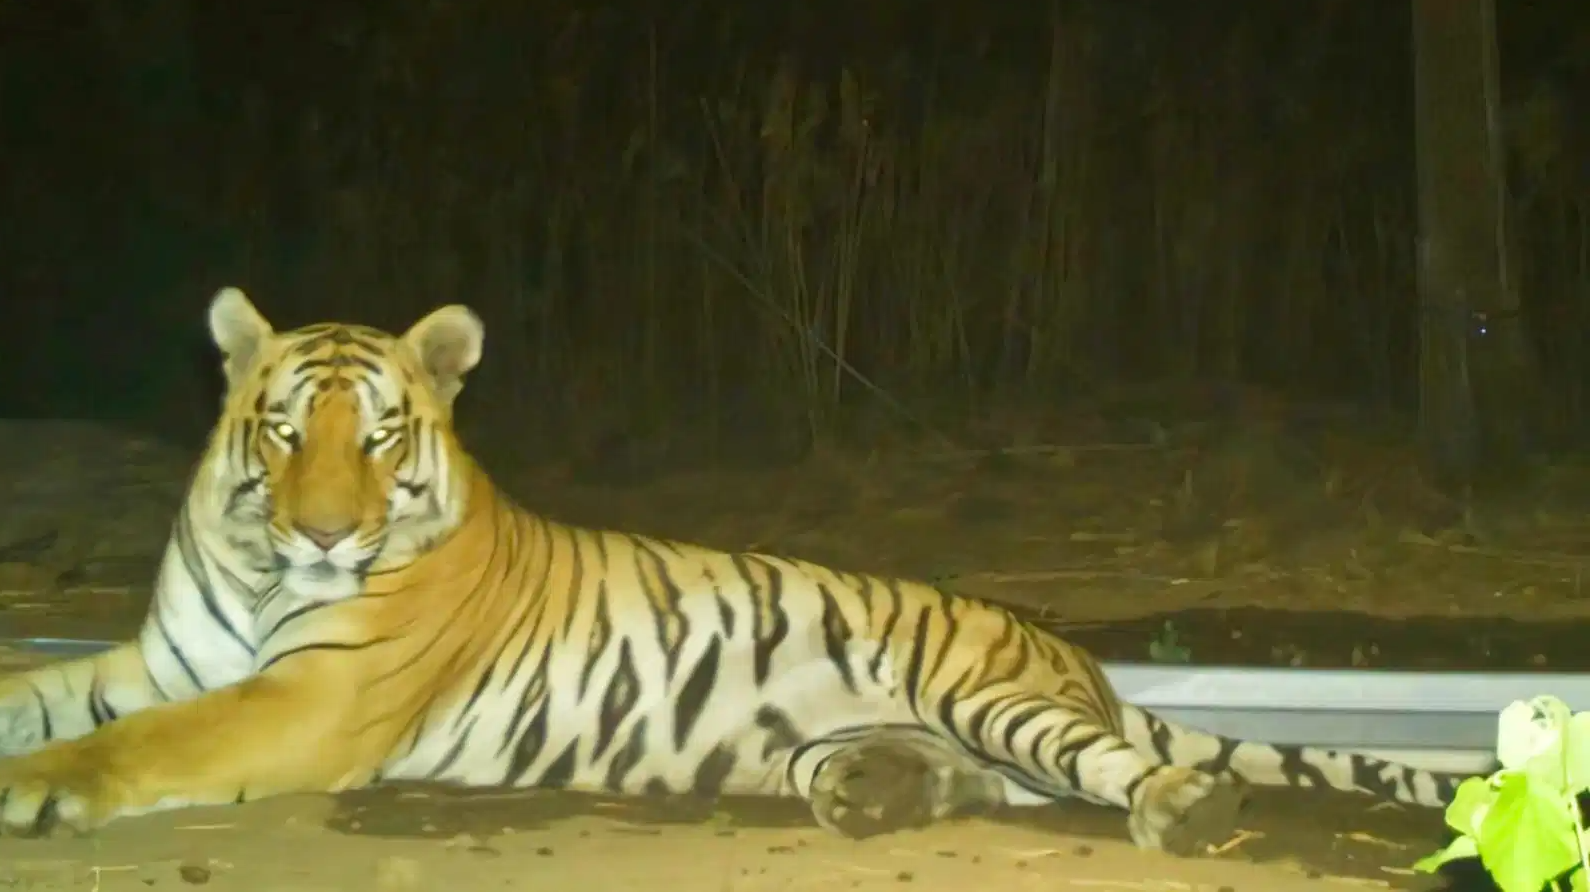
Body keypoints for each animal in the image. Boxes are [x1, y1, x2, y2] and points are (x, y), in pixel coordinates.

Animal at [0, 287, 1471, 853]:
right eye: (283, 431)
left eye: (378, 439)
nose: (319, 532)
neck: (261, 574)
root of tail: (1078, 654)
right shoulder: (162, 656)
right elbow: (49, 693)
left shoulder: (304, 697)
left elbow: (138, 744)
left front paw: (37, 791)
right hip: (865, 736)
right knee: (963, 779)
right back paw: (881, 796)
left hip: (995, 697)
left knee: (1113, 771)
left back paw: (1184, 808)